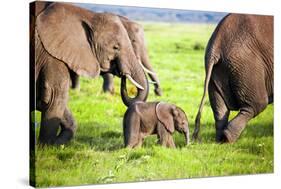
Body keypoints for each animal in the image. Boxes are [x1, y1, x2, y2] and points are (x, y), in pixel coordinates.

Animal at [31, 2, 149, 145]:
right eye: (115, 47)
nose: (123, 74)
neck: (87, 15)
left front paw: (56, 145)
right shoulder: (50, 55)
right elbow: (54, 97)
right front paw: (46, 147)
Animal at [191, 13, 272, 143]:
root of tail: (216, 43)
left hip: (217, 70)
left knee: (220, 109)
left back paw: (220, 140)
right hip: (246, 64)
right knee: (256, 105)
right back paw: (227, 139)